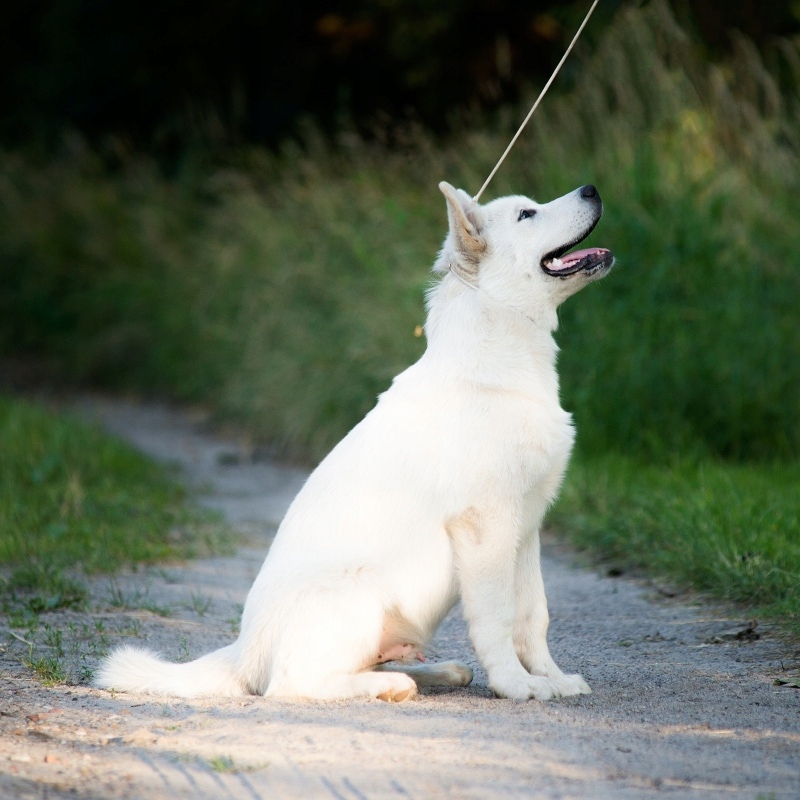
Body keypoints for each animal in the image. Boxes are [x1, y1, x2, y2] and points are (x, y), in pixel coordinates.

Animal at [95, 181, 612, 700]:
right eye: (527, 214)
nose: (591, 188)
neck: (500, 360)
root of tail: (243, 652)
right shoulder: (486, 527)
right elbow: (498, 619)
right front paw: (516, 685)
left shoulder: (525, 530)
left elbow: (533, 617)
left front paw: (552, 679)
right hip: (357, 596)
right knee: (291, 685)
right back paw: (392, 686)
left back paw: (436, 673)